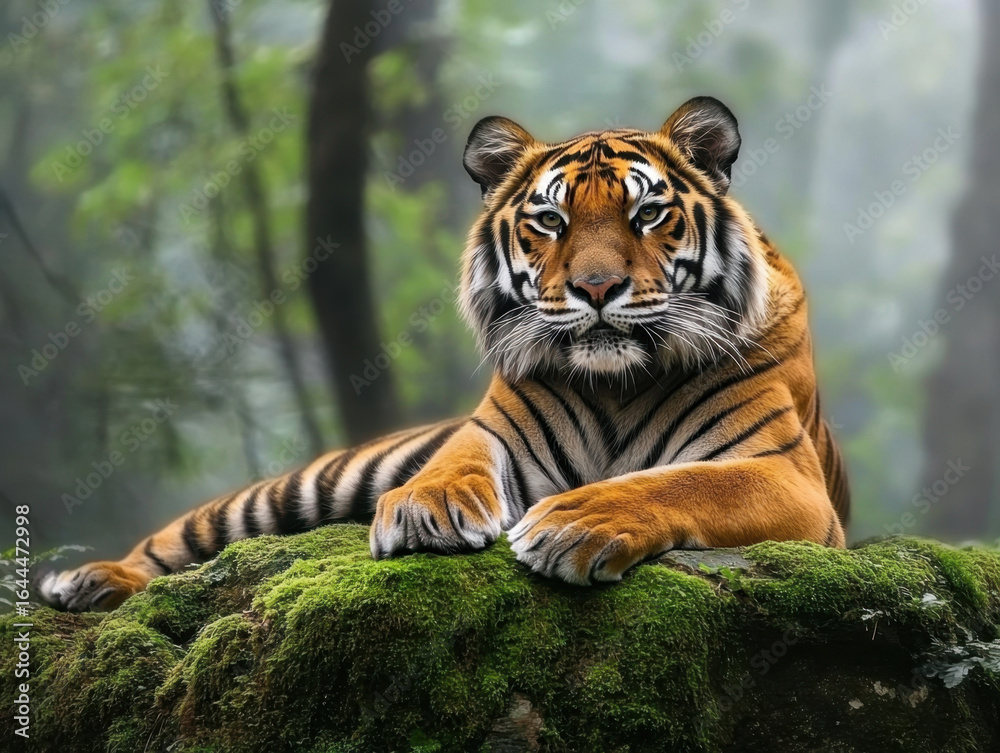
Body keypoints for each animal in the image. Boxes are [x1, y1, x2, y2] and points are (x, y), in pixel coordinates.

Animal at [39, 96, 849, 612]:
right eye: (550, 220)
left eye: (648, 213)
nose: (595, 288)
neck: (614, 384)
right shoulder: (491, 429)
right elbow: (453, 462)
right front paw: (428, 507)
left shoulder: (786, 475)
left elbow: (681, 483)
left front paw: (574, 522)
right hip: (302, 486)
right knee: (187, 536)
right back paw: (89, 581)